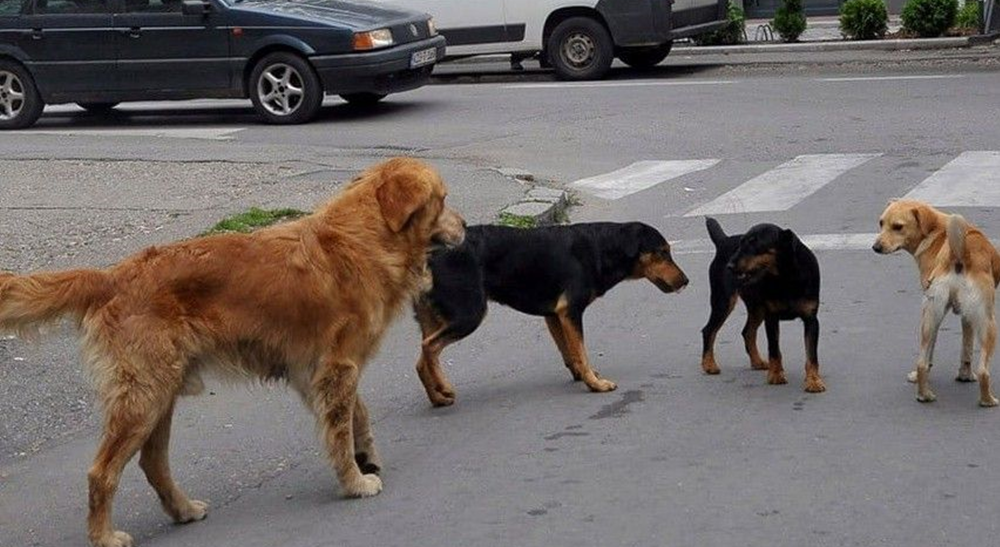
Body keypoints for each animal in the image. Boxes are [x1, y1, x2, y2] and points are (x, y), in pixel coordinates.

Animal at [0, 158, 465, 547]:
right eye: (443, 200)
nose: (464, 225)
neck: (366, 237)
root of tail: (113, 276)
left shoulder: (315, 371)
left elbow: (358, 416)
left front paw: (365, 457)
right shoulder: (338, 367)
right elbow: (339, 430)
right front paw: (354, 482)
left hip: (160, 395)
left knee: (153, 462)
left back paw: (183, 509)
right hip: (143, 397)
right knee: (102, 472)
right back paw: (104, 537)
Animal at [412, 222, 689, 406]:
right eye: (662, 252)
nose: (686, 281)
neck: (602, 247)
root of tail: (430, 255)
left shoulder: (555, 316)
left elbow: (571, 353)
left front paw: (584, 376)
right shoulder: (571, 312)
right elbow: (581, 351)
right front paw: (595, 384)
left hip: (435, 318)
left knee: (421, 361)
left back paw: (437, 397)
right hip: (469, 314)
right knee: (429, 348)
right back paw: (444, 388)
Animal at [700, 218, 826, 393]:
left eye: (755, 243)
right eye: (741, 243)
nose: (730, 266)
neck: (786, 276)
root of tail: (723, 241)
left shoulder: (811, 319)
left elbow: (811, 355)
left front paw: (813, 381)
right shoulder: (771, 318)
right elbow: (774, 350)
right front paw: (776, 375)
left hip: (756, 308)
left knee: (747, 332)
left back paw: (757, 362)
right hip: (723, 301)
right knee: (709, 330)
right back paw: (709, 364)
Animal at [873, 199, 1000, 406]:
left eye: (898, 227)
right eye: (881, 223)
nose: (875, 247)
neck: (935, 232)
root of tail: (960, 255)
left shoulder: (961, 316)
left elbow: (961, 350)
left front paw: (964, 375)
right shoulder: (967, 317)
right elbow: (965, 348)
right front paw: (965, 376)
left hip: (931, 318)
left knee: (922, 363)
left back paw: (924, 394)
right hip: (986, 323)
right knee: (982, 370)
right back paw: (987, 400)